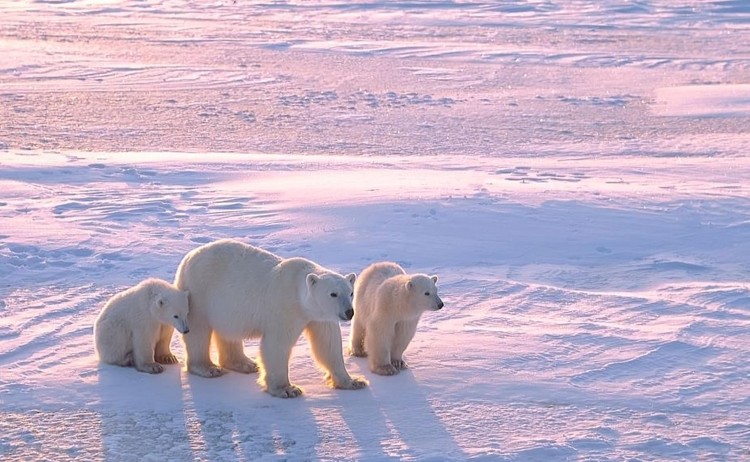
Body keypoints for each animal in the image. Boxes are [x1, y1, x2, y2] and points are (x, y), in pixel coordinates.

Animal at [173, 239, 368, 398]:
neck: (298, 291)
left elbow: (328, 345)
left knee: (229, 332)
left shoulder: (320, 317)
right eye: (333, 294)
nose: (349, 312)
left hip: (225, 306)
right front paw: (287, 389)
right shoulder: (285, 308)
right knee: (198, 330)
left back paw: (244, 364)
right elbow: (277, 344)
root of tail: (188, 257)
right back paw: (208, 368)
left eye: (350, 292)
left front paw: (354, 382)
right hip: (200, 292)